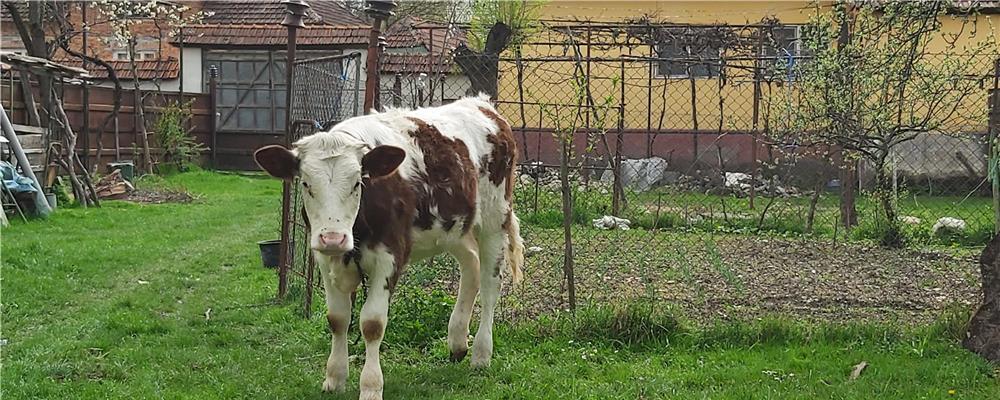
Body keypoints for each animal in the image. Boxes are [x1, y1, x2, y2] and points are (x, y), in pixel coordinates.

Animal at [254, 94, 524, 400]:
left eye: (357, 183)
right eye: (306, 184)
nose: (333, 238)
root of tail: (481, 104)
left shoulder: (390, 256)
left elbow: (372, 324)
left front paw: (371, 386)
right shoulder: (324, 259)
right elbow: (337, 318)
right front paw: (335, 377)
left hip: (495, 218)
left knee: (491, 285)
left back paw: (481, 354)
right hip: (453, 228)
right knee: (471, 267)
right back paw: (457, 342)